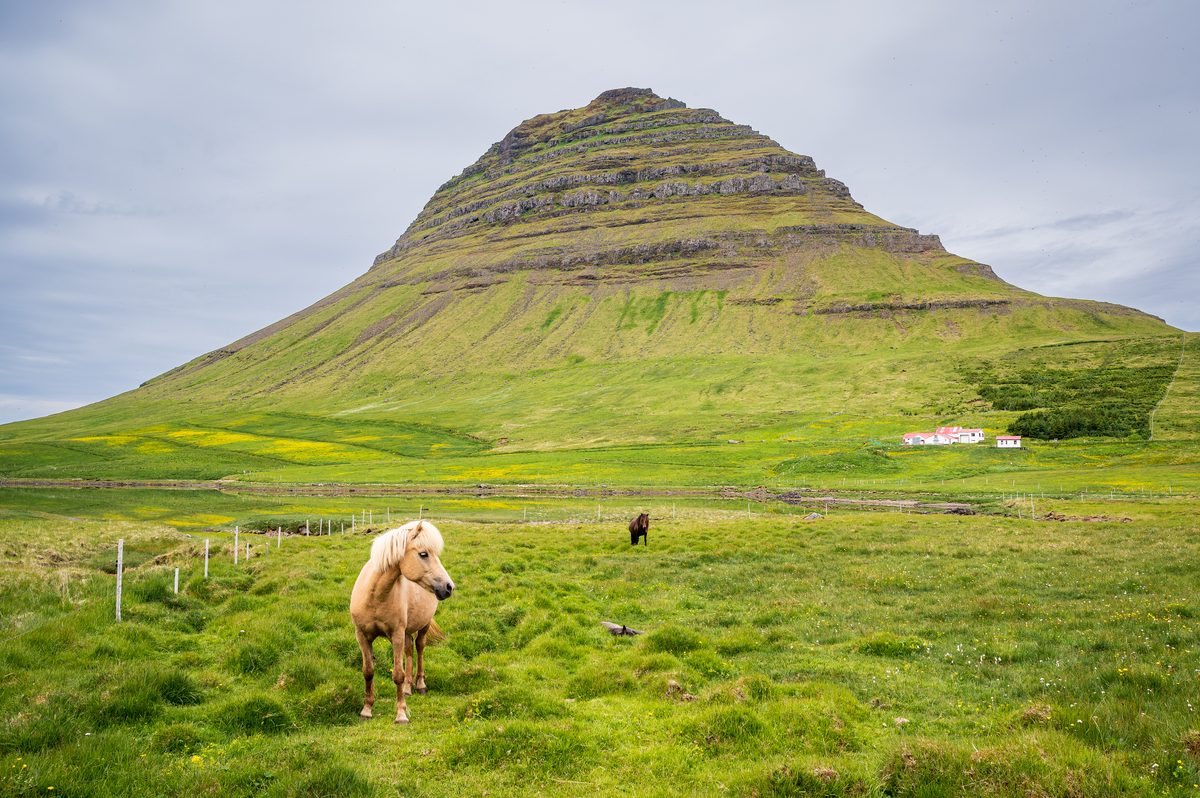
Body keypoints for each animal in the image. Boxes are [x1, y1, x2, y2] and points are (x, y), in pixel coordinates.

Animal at [349, 519, 455, 724]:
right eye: (423, 554)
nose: (449, 587)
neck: (375, 596)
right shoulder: (362, 636)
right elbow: (368, 671)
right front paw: (366, 710)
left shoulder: (396, 635)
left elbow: (397, 674)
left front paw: (401, 714)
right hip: (406, 631)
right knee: (409, 650)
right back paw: (407, 688)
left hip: (423, 625)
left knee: (419, 648)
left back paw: (420, 685)